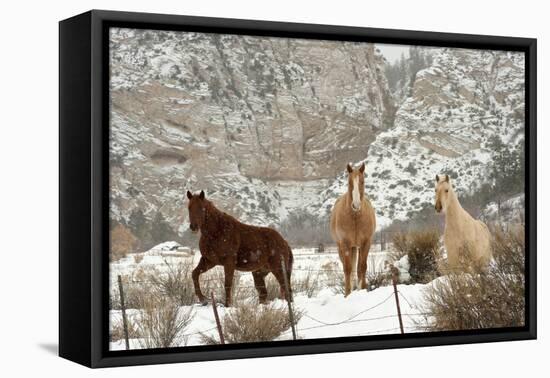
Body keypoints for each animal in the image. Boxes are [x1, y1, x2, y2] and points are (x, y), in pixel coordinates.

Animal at [330, 162, 378, 296]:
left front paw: (363, 289)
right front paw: (347, 294)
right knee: (348, 269)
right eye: (349, 182)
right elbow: (347, 269)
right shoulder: (345, 245)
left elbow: (362, 267)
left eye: (362, 181)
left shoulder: (366, 243)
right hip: (343, 247)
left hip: (356, 247)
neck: (355, 217)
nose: (356, 205)